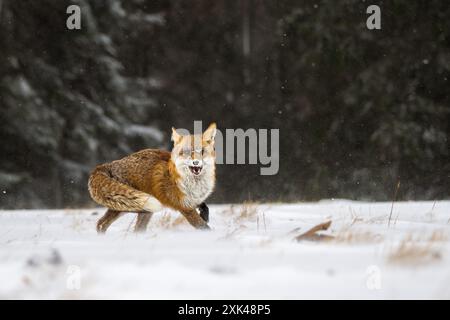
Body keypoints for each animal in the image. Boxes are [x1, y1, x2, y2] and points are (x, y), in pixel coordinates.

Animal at [87, 122, 217, 232]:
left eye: (202, 151)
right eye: (186, 152)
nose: (196, 162)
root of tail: (107, 165)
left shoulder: (193, 199)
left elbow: (204, 206)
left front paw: (204, 214)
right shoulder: (185, 207)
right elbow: (203, 227)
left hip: (142, 209)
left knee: (127, 227)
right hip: (129, 206)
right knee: (102, 224)